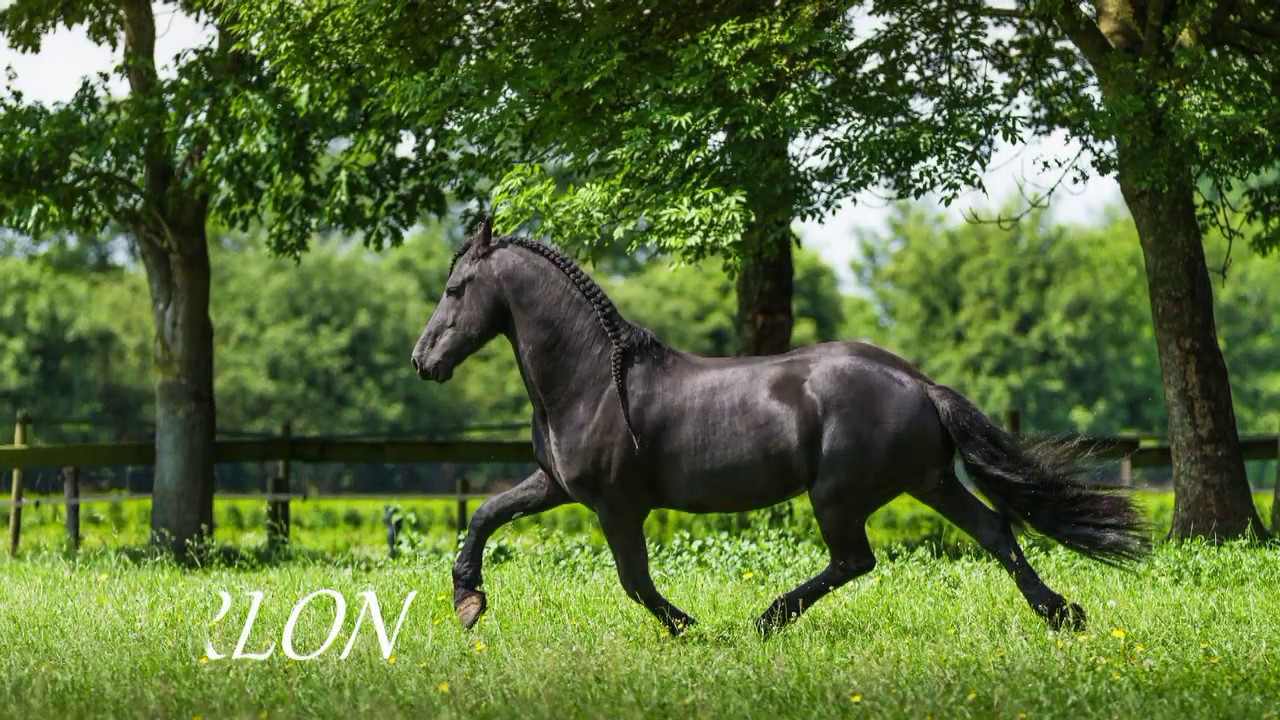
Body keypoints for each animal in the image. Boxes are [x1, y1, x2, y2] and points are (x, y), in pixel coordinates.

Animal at [409, 224, 1150, 637]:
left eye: (454, 290)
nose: (424, 360)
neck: (593, 379)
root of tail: (919, 385)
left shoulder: (617, 505)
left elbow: (633, 580)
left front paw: (690, 628)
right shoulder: (556, 485)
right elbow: (485, 514)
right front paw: (468, 602)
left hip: (840, 494)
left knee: (856, 560)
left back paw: (765, 620)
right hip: (928, 480)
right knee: (995, 529)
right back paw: (1063, 614)